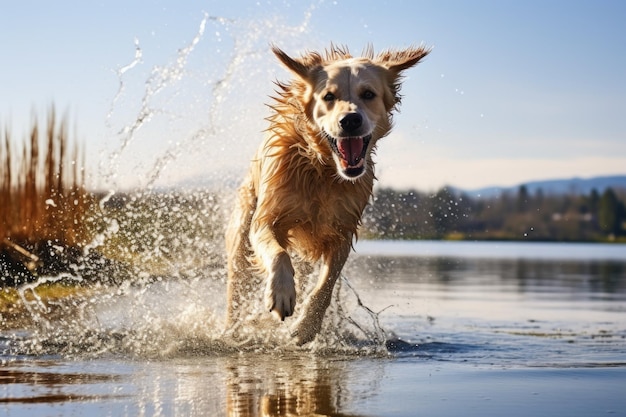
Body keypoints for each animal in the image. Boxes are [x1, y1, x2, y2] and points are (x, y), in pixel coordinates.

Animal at [225, 43, 428, 344]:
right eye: (328, 96)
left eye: (368, 94)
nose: (350, 120)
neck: (321, 169)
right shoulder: (267, 218)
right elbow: (278, 253)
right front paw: (281, 293)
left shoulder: (342, 231)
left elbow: (326, 285)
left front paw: (307, 326)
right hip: (241, 240)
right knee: (236, 289)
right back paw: (230, 330)